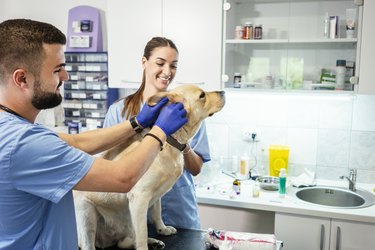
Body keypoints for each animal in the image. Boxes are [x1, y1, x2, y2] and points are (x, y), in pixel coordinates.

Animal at [74, 85, 226, 249]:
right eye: (202, 95)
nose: (223, 92)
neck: (168, 141)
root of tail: (108, 241)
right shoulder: (139, 197)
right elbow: (142, 233)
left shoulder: (156, 195)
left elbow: (156, 214)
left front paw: (162, 229)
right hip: (86, 212)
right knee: (90, 243)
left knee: (130, 240)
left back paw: (154, 241)